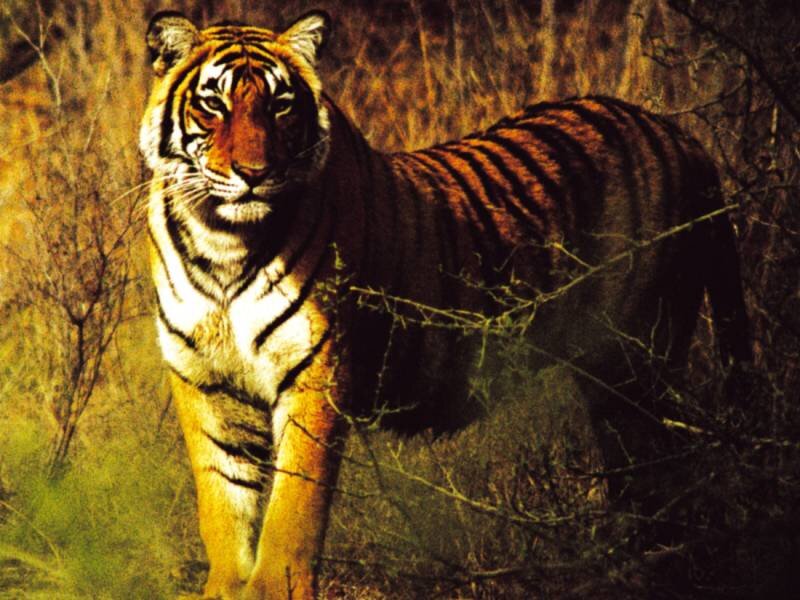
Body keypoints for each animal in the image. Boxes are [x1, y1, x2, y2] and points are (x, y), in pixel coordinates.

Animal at [139, 9, 750, 600]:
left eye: (281, 105)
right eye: (213, 104)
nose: (254, 174)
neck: (223, 243)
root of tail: (681, 134)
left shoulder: (314, 372)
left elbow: (293, 508)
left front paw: (273, 587)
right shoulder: (205, 381)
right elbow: (223, 504)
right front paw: (225, 585)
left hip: (641, 362)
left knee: (671, 482)